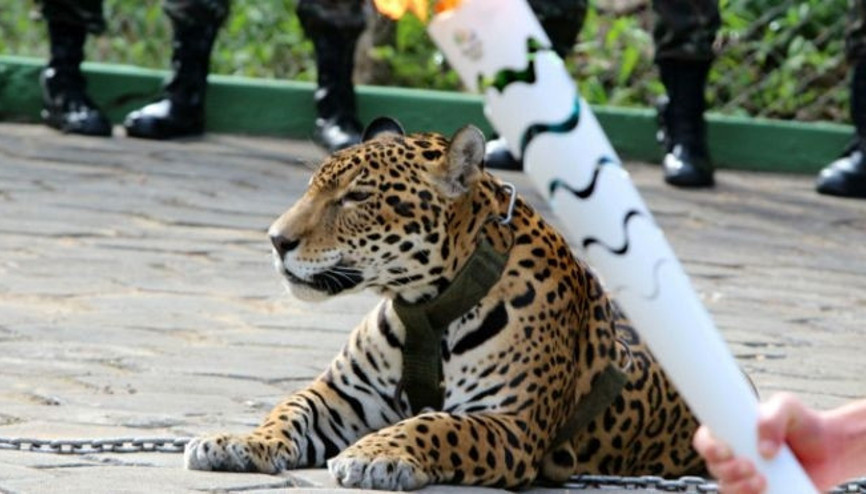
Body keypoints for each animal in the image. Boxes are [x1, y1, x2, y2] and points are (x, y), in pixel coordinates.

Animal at [184, 117, 706, 490]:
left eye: (357, 196)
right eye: (312, 187)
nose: (276, 240)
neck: (426, 306)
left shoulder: (511, 423)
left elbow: (436, 424)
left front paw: (373, 454)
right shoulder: (344, 395)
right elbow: (289, 409)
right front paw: (238, 441)